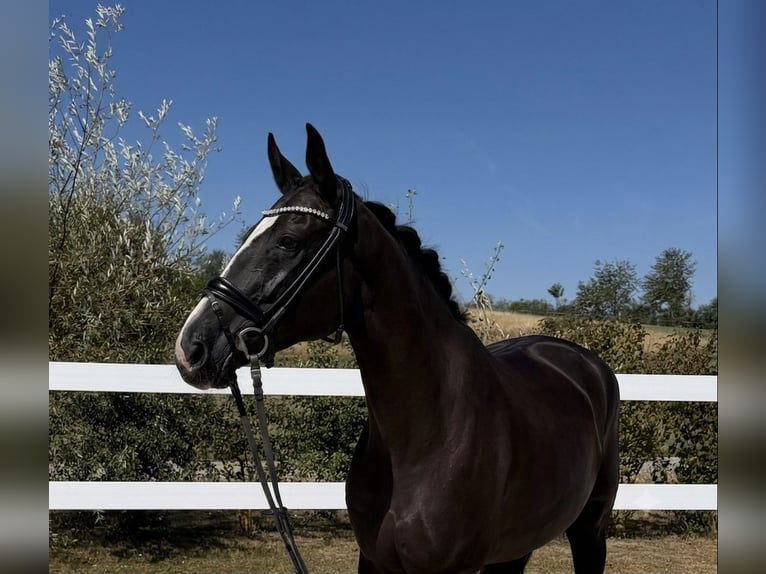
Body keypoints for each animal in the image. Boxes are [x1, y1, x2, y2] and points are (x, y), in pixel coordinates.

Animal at [175, 124, 620, 574]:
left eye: (288, 241)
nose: (191, 347)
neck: (428, 434)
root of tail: (585, 363)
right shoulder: (373, 561)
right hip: (517, 546)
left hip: (590, 528)